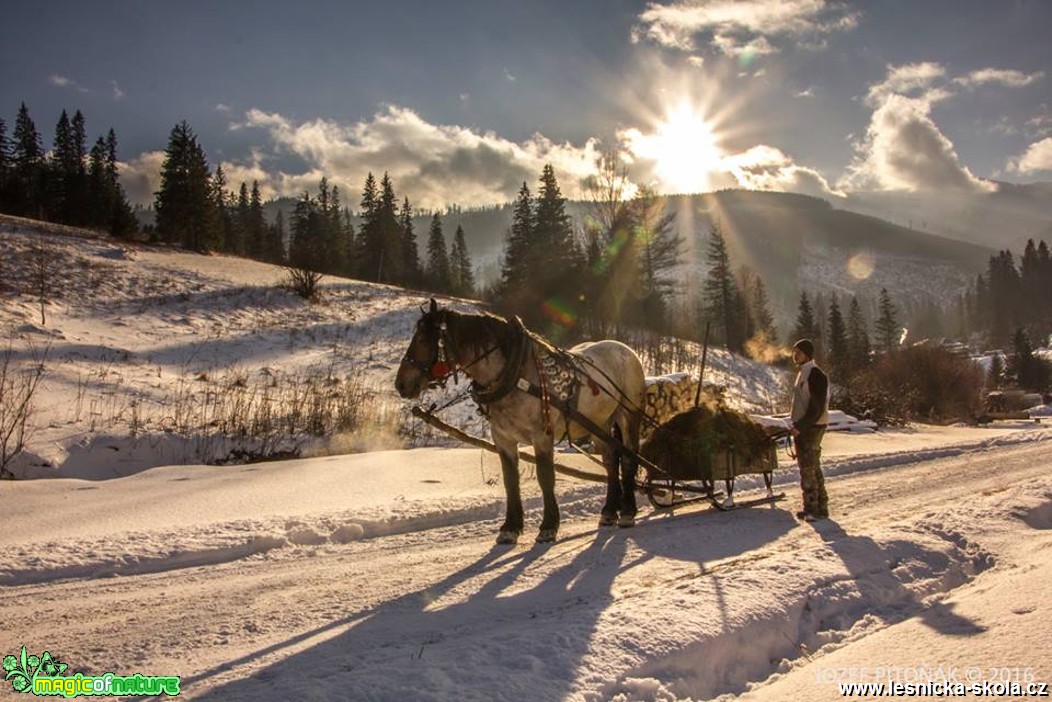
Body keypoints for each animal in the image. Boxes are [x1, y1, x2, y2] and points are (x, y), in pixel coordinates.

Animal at [395, 298, 639, 547]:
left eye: (423, 339)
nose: (400, 383)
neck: (515, 374)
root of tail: (625, 349)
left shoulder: (542, 436)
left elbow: (545, 477)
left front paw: (548, 527)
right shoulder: (503, 438)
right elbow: (510, 481)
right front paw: (510, 528)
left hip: (628, 415)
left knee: (629, 459)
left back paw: (627, 512)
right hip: (600, 424)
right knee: (611, 461)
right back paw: (609, 511)